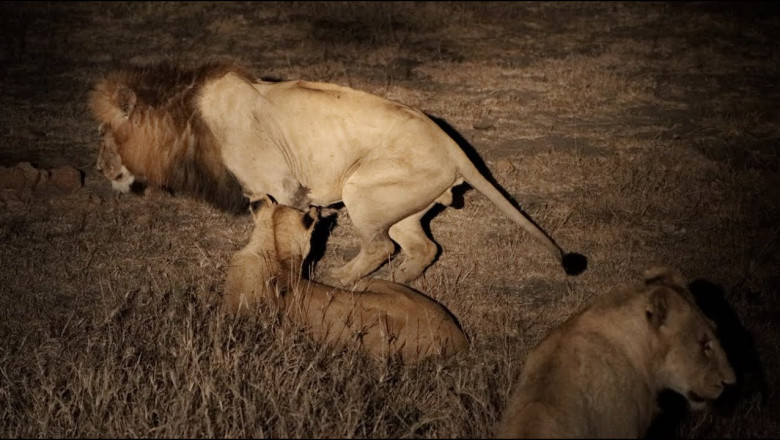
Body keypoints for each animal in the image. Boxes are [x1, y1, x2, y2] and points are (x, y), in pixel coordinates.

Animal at [88, 60, 586, 285]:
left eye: (102, 132)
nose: (97, 168)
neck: (185, 121)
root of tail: (456, 147)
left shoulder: (285, 188)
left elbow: (282, 233)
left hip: (360, 189)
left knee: (380, 246)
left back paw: (342, 281)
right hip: (399, 206)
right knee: (422, 247)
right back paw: (394, 284)